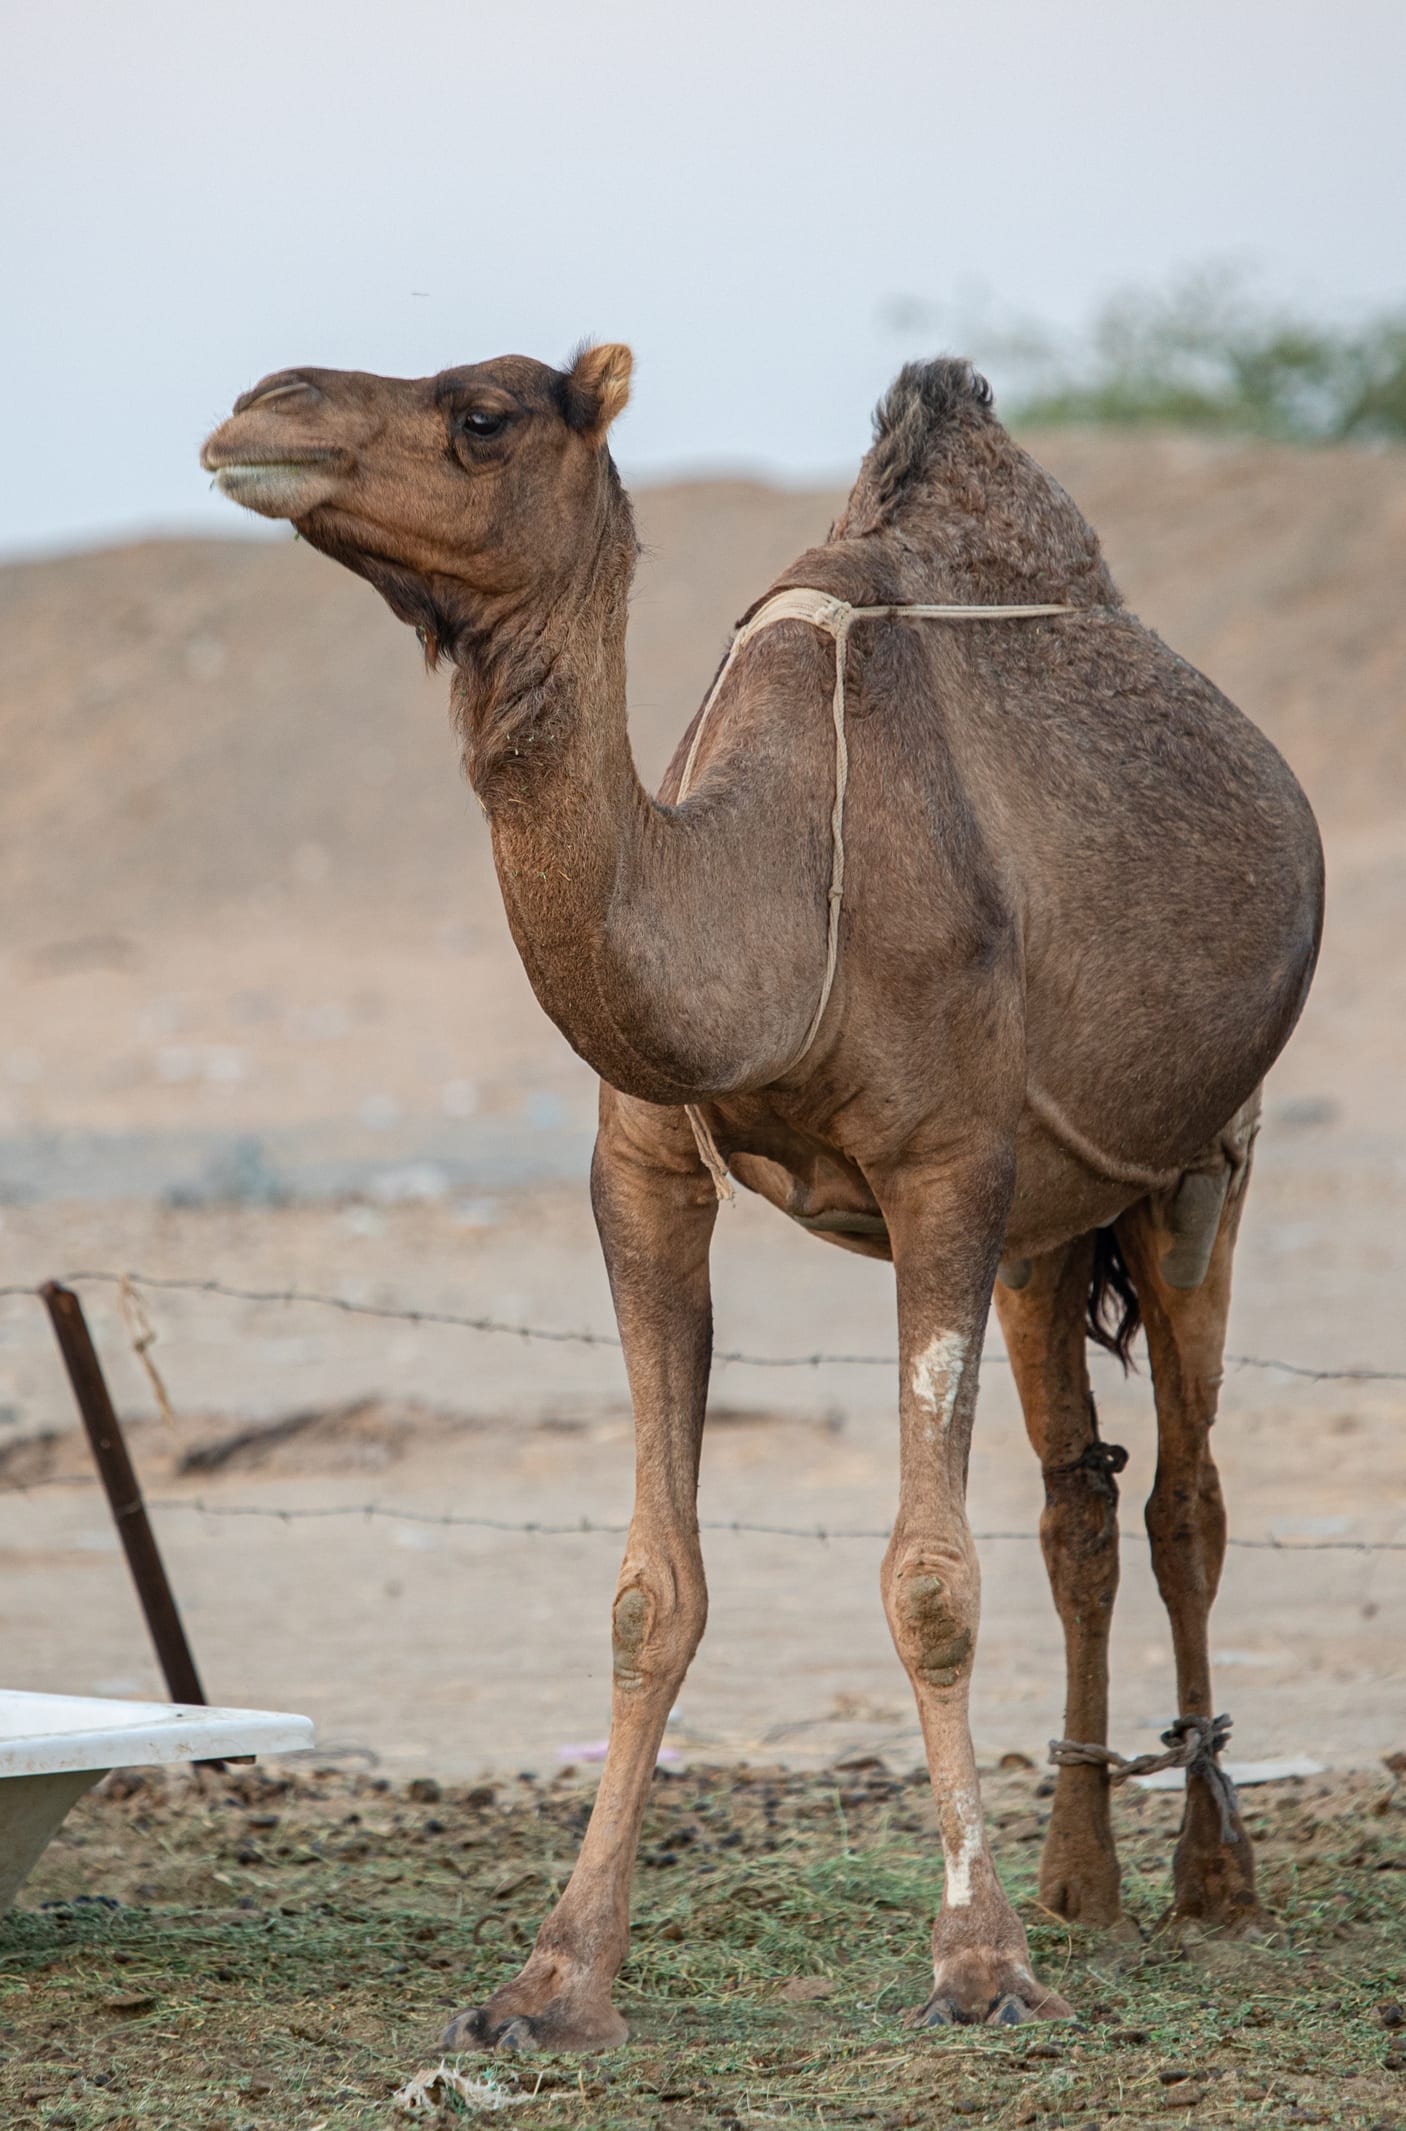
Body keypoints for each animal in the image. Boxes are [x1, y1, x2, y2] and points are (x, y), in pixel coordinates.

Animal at [200, 349, 1329, 2045]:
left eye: (481, 414)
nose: (257, 407)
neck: (765, 890)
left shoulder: (946, 1165)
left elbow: (929, 1577)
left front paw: (979, 1966)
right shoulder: (643, 1169)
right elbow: (647, 1587)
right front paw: (551, 1981)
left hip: (1205, 1157)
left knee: (1185, 1495)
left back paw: (1213, 1881)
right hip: (1048, 1226)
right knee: (1078, 1502)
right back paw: (1082, 1879)